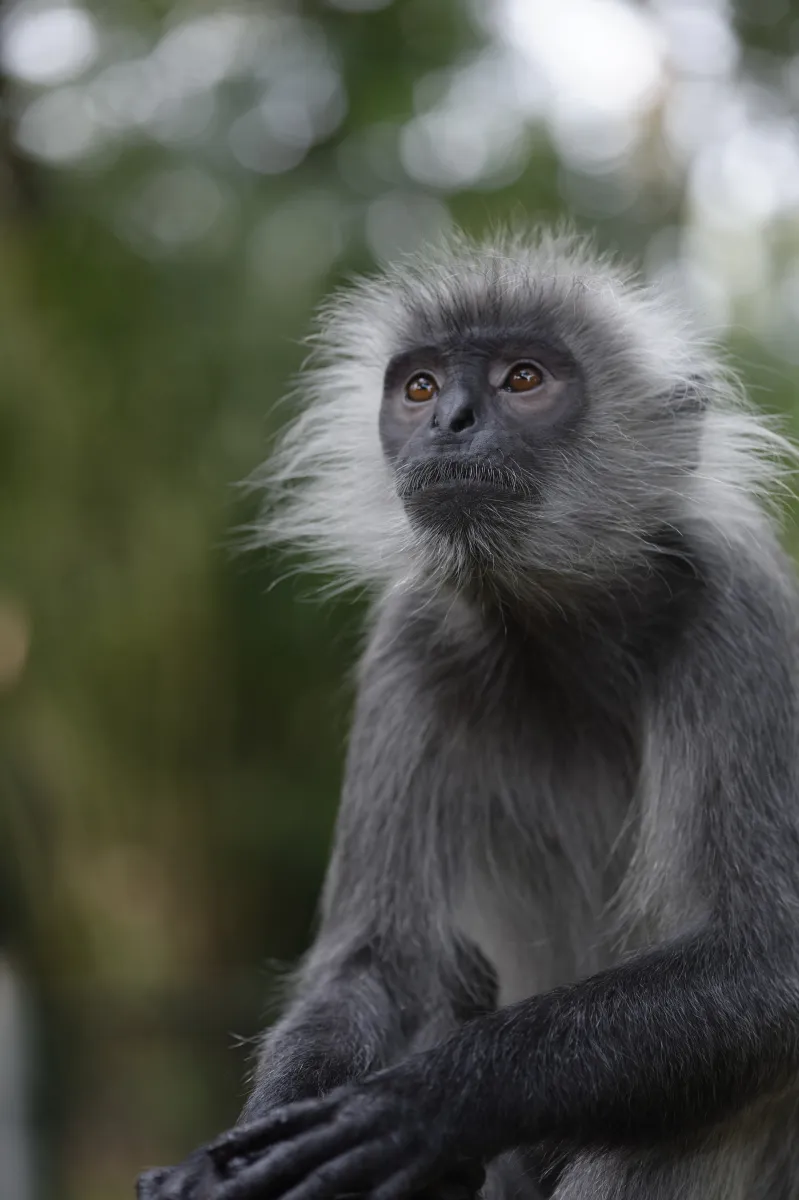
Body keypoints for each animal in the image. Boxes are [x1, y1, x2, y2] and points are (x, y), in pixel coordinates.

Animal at [138, 228, 799, 1200]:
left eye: (522, 379)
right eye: (419, 387)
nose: (449, 420)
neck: (556, 634)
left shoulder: (737, 609)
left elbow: (769, 964)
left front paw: (420, 1103)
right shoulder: (411, 639)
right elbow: (376, 967)